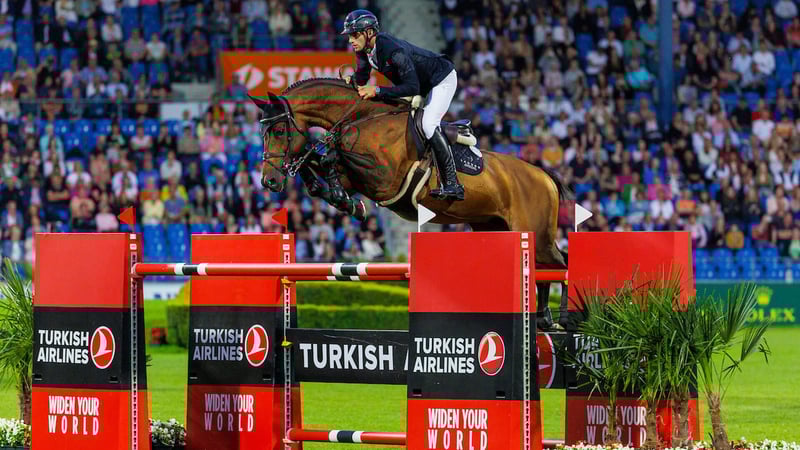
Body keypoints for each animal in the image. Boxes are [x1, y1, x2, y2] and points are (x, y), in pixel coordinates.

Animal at [250, 77, 571, 330]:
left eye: (279, 132)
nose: (269, 182)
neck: (362, 117)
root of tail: (543, 174)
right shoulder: (358, 178)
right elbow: (319, 162)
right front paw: (342, 199)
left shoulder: (384, 176)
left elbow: (332, 154)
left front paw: (345, 198)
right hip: (495, 228)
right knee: (543, 271)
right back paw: (544, 319)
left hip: (535, 234)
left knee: (560, 264)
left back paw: (560, 318)